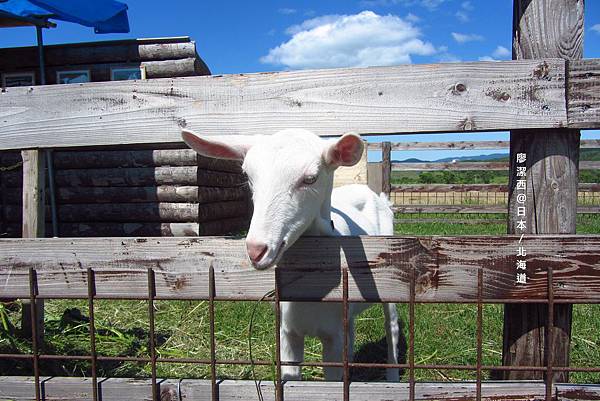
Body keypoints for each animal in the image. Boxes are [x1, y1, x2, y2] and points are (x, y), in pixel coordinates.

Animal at [180, 128, 400, 382]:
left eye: (311, 178)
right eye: (249, 177)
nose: (256, 250)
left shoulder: (333, 339)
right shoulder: (288, 333)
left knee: (392, 325)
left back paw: (393, 377)